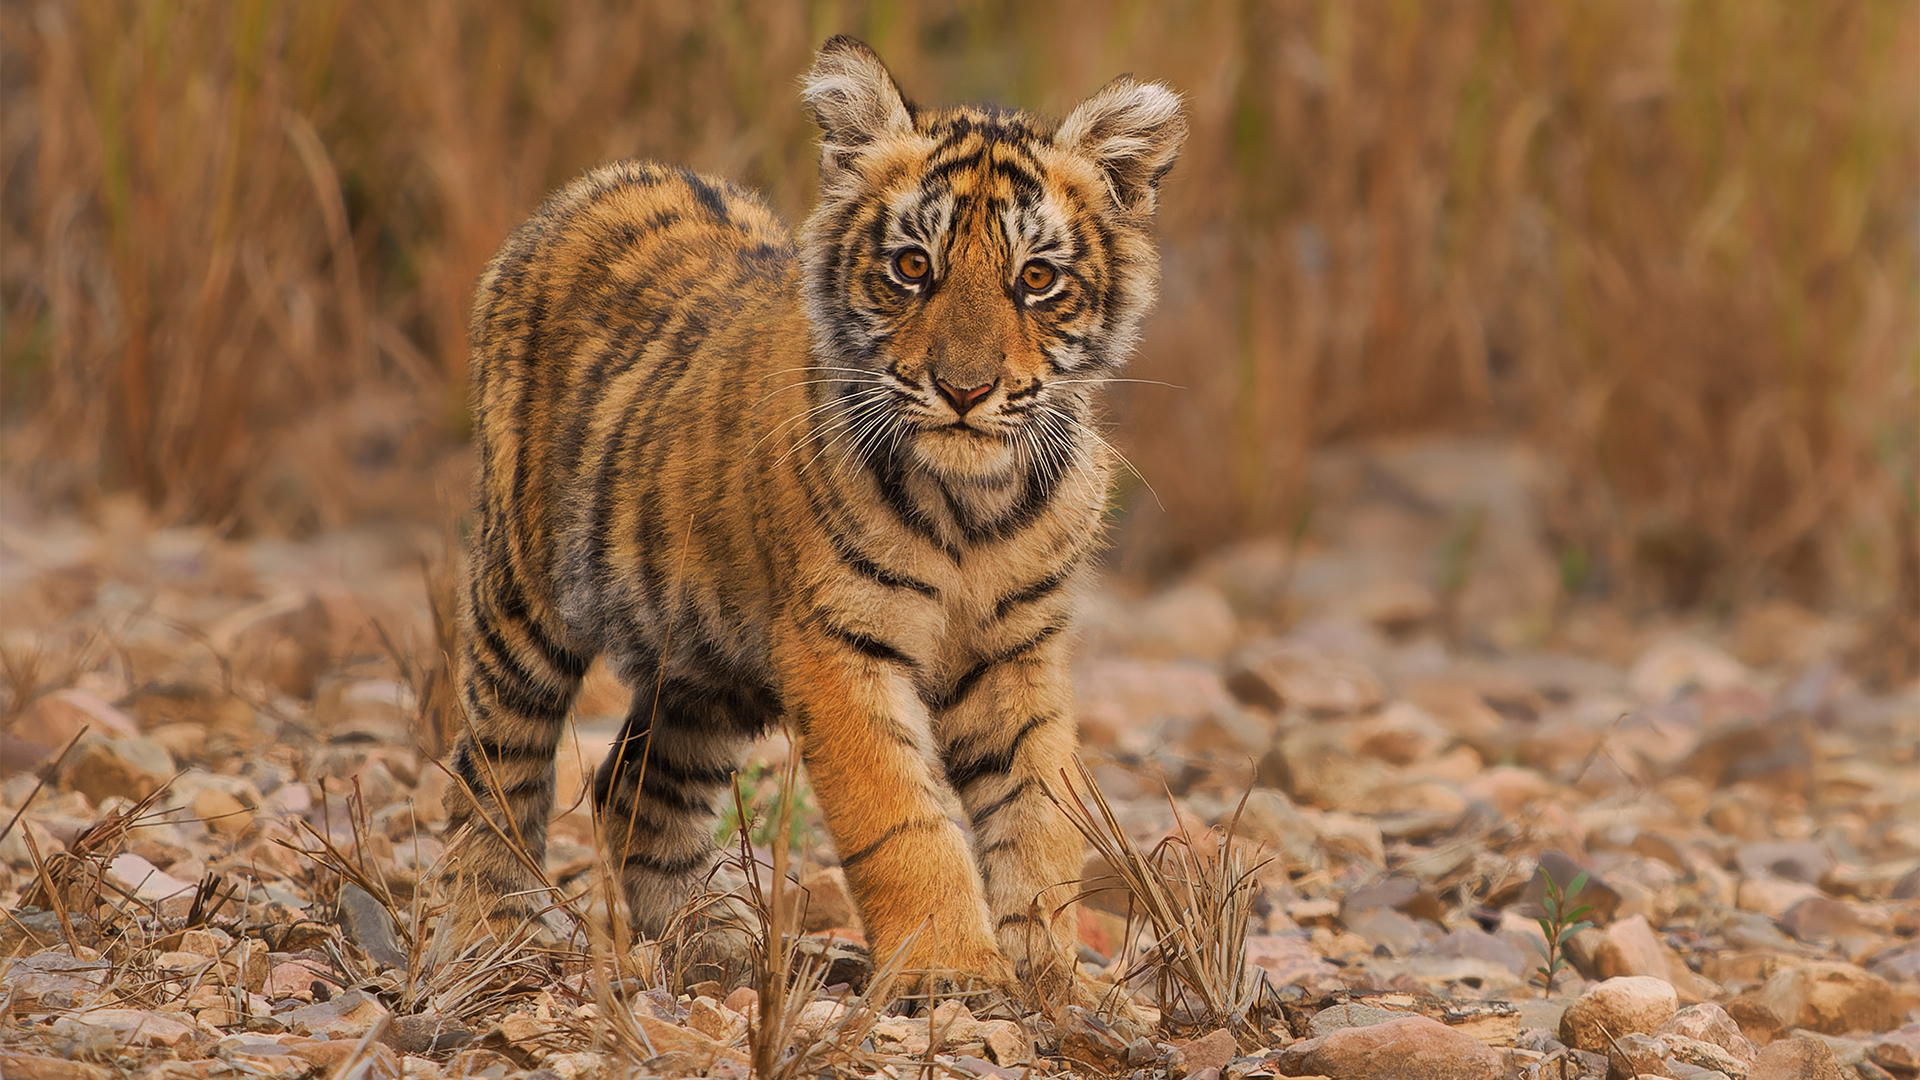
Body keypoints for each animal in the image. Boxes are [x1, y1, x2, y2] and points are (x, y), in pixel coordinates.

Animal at [436, 35, 1185, 1003]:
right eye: (913, 267)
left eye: (1036, 279)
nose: (966, 390)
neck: (974, 504)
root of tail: (599, 182)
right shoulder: (838, 646)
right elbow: (902, 816)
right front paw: (951, 971)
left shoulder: (1017, 650)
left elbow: (1040, 811)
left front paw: (1052, 973)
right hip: (527, 600)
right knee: (494, 768)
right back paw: (488, 937)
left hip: (705, 664)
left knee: (635, 790)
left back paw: (713, 948)